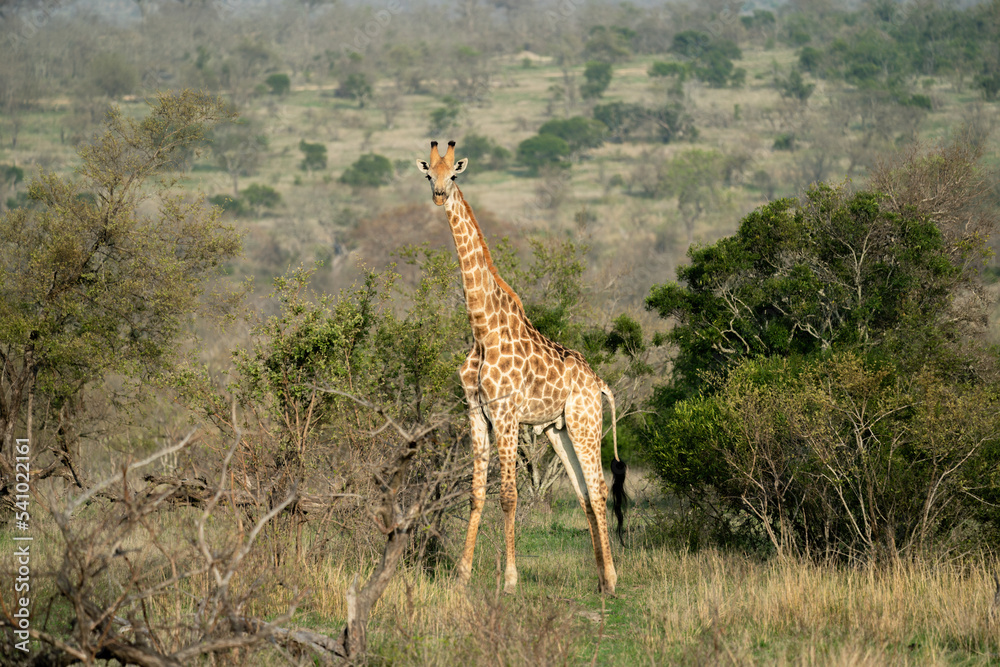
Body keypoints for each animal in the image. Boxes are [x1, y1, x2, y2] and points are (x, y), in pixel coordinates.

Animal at [415, 141, 627, 595]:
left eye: (453, 175)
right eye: (428, 175)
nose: (439, 196)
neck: (482, 328)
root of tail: (600, 383)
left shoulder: (506, 412)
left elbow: (508, 496)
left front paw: (510, 581)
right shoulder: (476, 411)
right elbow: (477, 494)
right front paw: (462, 575)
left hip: (585, 422)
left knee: (600, 488)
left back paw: (613, 579)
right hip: (557, 429)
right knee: (584, 493)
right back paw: (601, 578)